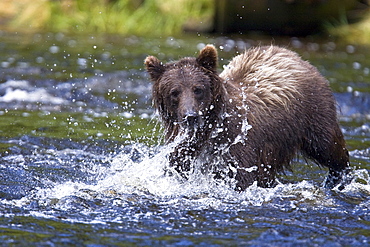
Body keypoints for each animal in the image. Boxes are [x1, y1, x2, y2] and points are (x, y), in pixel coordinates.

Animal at [144, 44, 350, 191]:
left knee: (329, 146)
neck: (211, 130)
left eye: (198, 89)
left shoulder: (239, 145)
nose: (190, 116)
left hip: (312, 113)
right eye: (174, 92)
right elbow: (178, 168)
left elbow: (241, 177)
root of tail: (296, 57)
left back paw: (338, 178)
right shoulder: (185, 151)